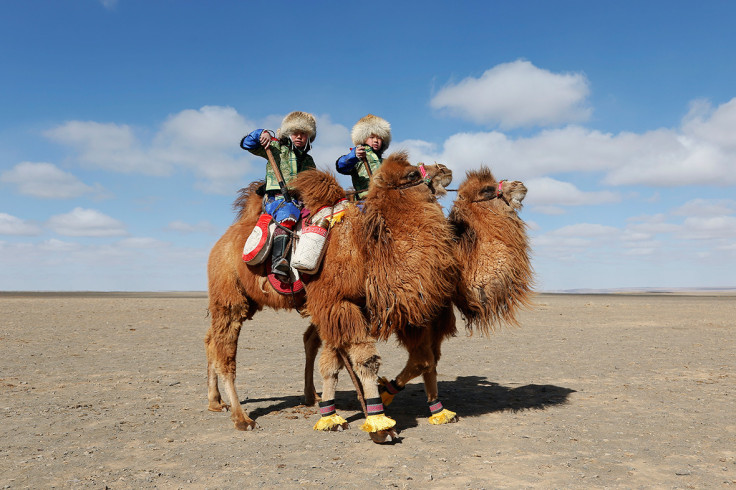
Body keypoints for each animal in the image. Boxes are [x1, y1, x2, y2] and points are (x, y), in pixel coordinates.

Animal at [204, 151, 454, 438]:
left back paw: (217, 402)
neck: (365, 249)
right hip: (228, 296)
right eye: (412, 173)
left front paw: (335, 413)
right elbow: (364, 360)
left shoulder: (344, 306)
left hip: (248, 300)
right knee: (225, 352)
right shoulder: (337, 302)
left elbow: (334, 361)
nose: (444, 169)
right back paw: (241, 418)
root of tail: (222, 241)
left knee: (212, 340)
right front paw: (378, 424)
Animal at [302, 165, 532, 424]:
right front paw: (372, 408)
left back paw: (312, 397)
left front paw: (432, 407)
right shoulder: (347, 304)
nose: (520, 184)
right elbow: (418, 360)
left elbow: (427, 361)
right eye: (487, 189)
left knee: (311, 339)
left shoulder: (428, 315)